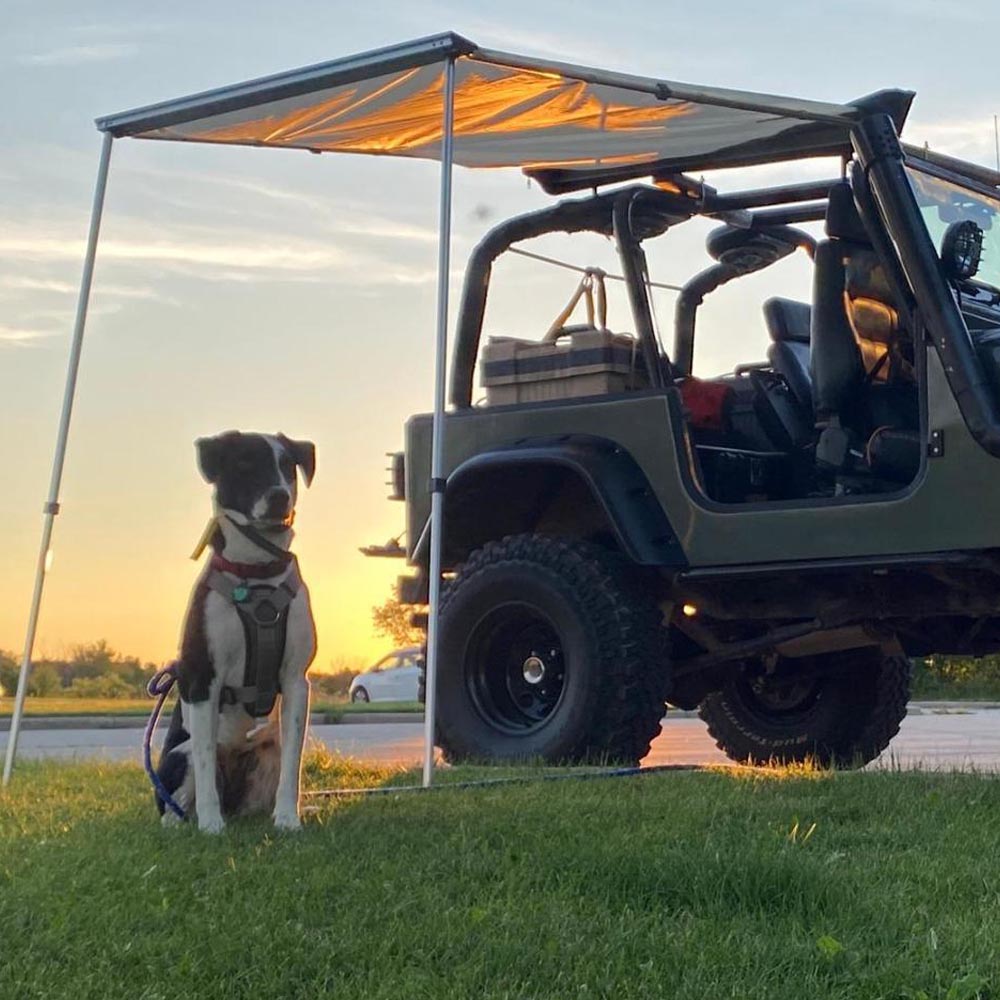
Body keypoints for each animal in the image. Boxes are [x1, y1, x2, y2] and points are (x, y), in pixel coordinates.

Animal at [156, 434, 316, 832]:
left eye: (287, 466)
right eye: (245, 465)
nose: (279, 496)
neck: (256, 574)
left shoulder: (296, 681)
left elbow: (293, 766)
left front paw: (288, 819)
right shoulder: (202, 681)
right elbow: (205, 761)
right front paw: (211, 826)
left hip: (267, 754)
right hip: (178, 757)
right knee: (180, 795)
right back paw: (185, 821)